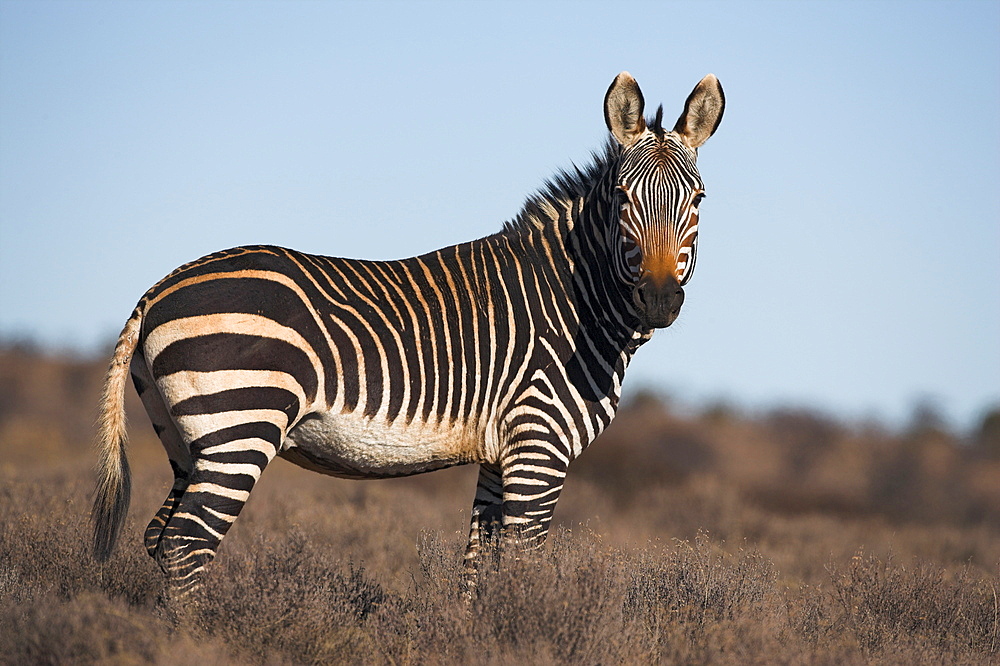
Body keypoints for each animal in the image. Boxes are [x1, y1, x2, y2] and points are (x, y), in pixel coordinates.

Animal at [92, 71, 720, 592]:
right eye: (622, 200)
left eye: (698, 199)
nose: (659, 299)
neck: (575, 298)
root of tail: (160, 288)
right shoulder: (538, 446)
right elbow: (522, 566)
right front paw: (529, 628)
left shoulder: (499, 455)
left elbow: (478, 569)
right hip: (240, 425)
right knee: (187, 545)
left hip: (187, 440)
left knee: (160, 539)